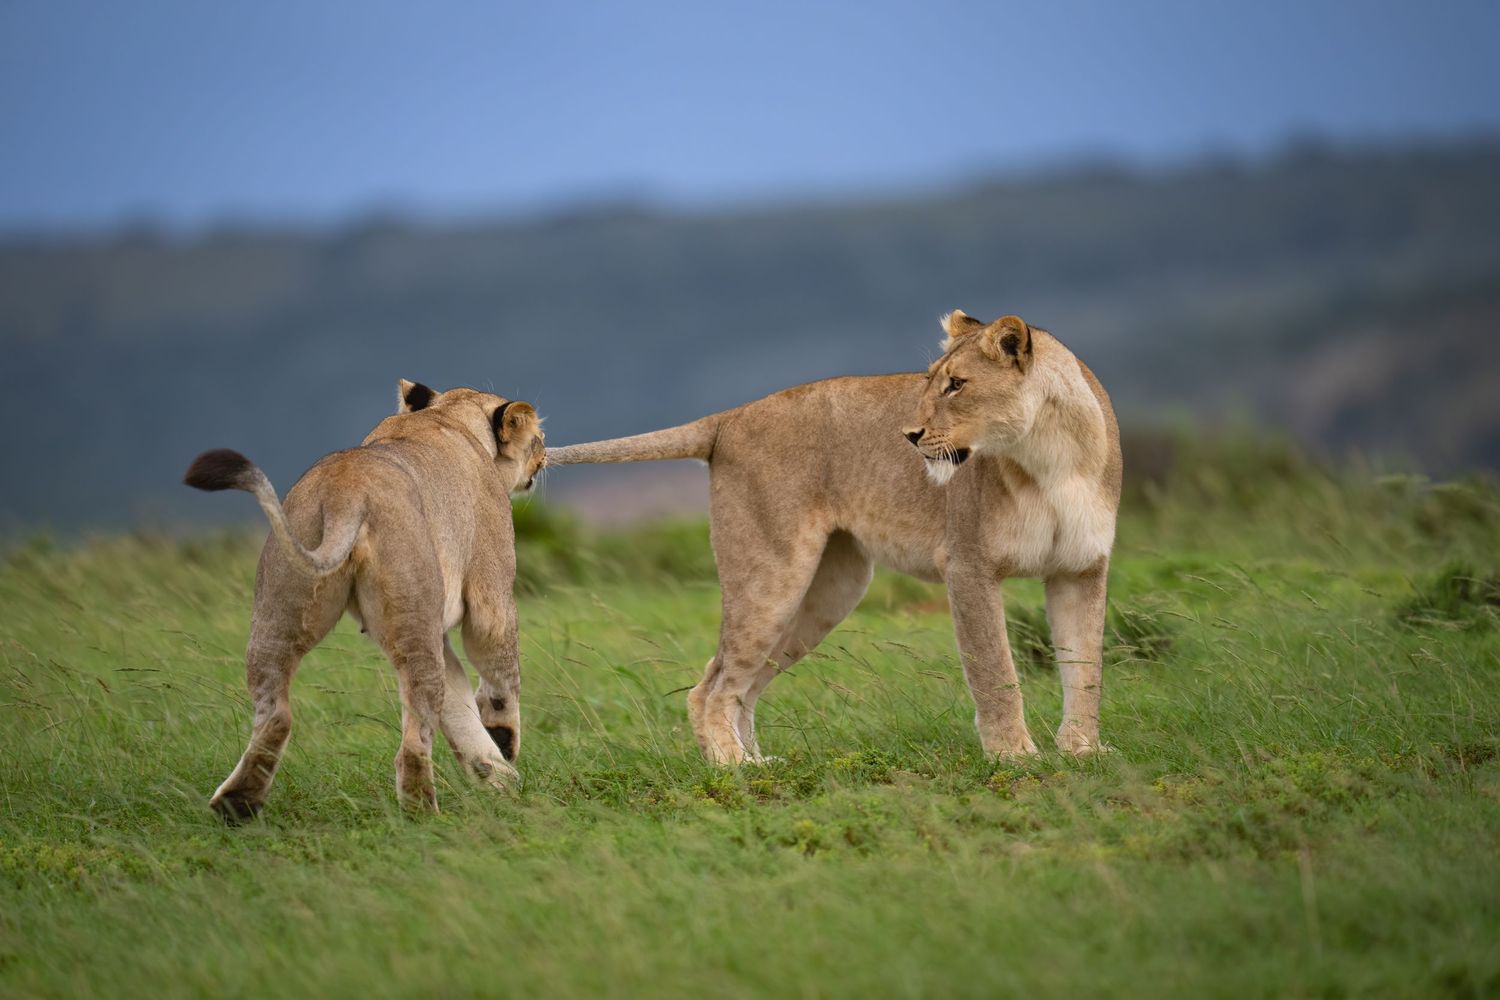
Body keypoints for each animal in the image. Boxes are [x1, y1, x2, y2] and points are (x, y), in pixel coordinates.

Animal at [183, 380, 545, 819]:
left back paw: (237, 805)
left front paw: (494, 775)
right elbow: (499, 675)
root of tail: (346, 491)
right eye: (538, 437)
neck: (449, 415)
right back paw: (422, 813)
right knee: (413, 740)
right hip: (412, 614)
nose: (545, 453)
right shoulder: (490, 597)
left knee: (276, 716)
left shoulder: (433, 623)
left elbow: (458, 703)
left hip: (280, 606)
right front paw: (503, 744)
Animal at [547, 312, 1120, 763]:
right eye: (929, 381)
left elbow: (1085, 666)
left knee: (739, 681)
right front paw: (1014, 756)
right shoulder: (968, 565)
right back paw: (735, 769)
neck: (1049, 456)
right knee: (712, 686)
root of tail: (730, 417)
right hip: (773, 574)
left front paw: (1082, 750)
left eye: (957, 384)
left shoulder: (1081, 569)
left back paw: (757, 760)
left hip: (828, 588)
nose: (910, 435)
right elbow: (994, 668)